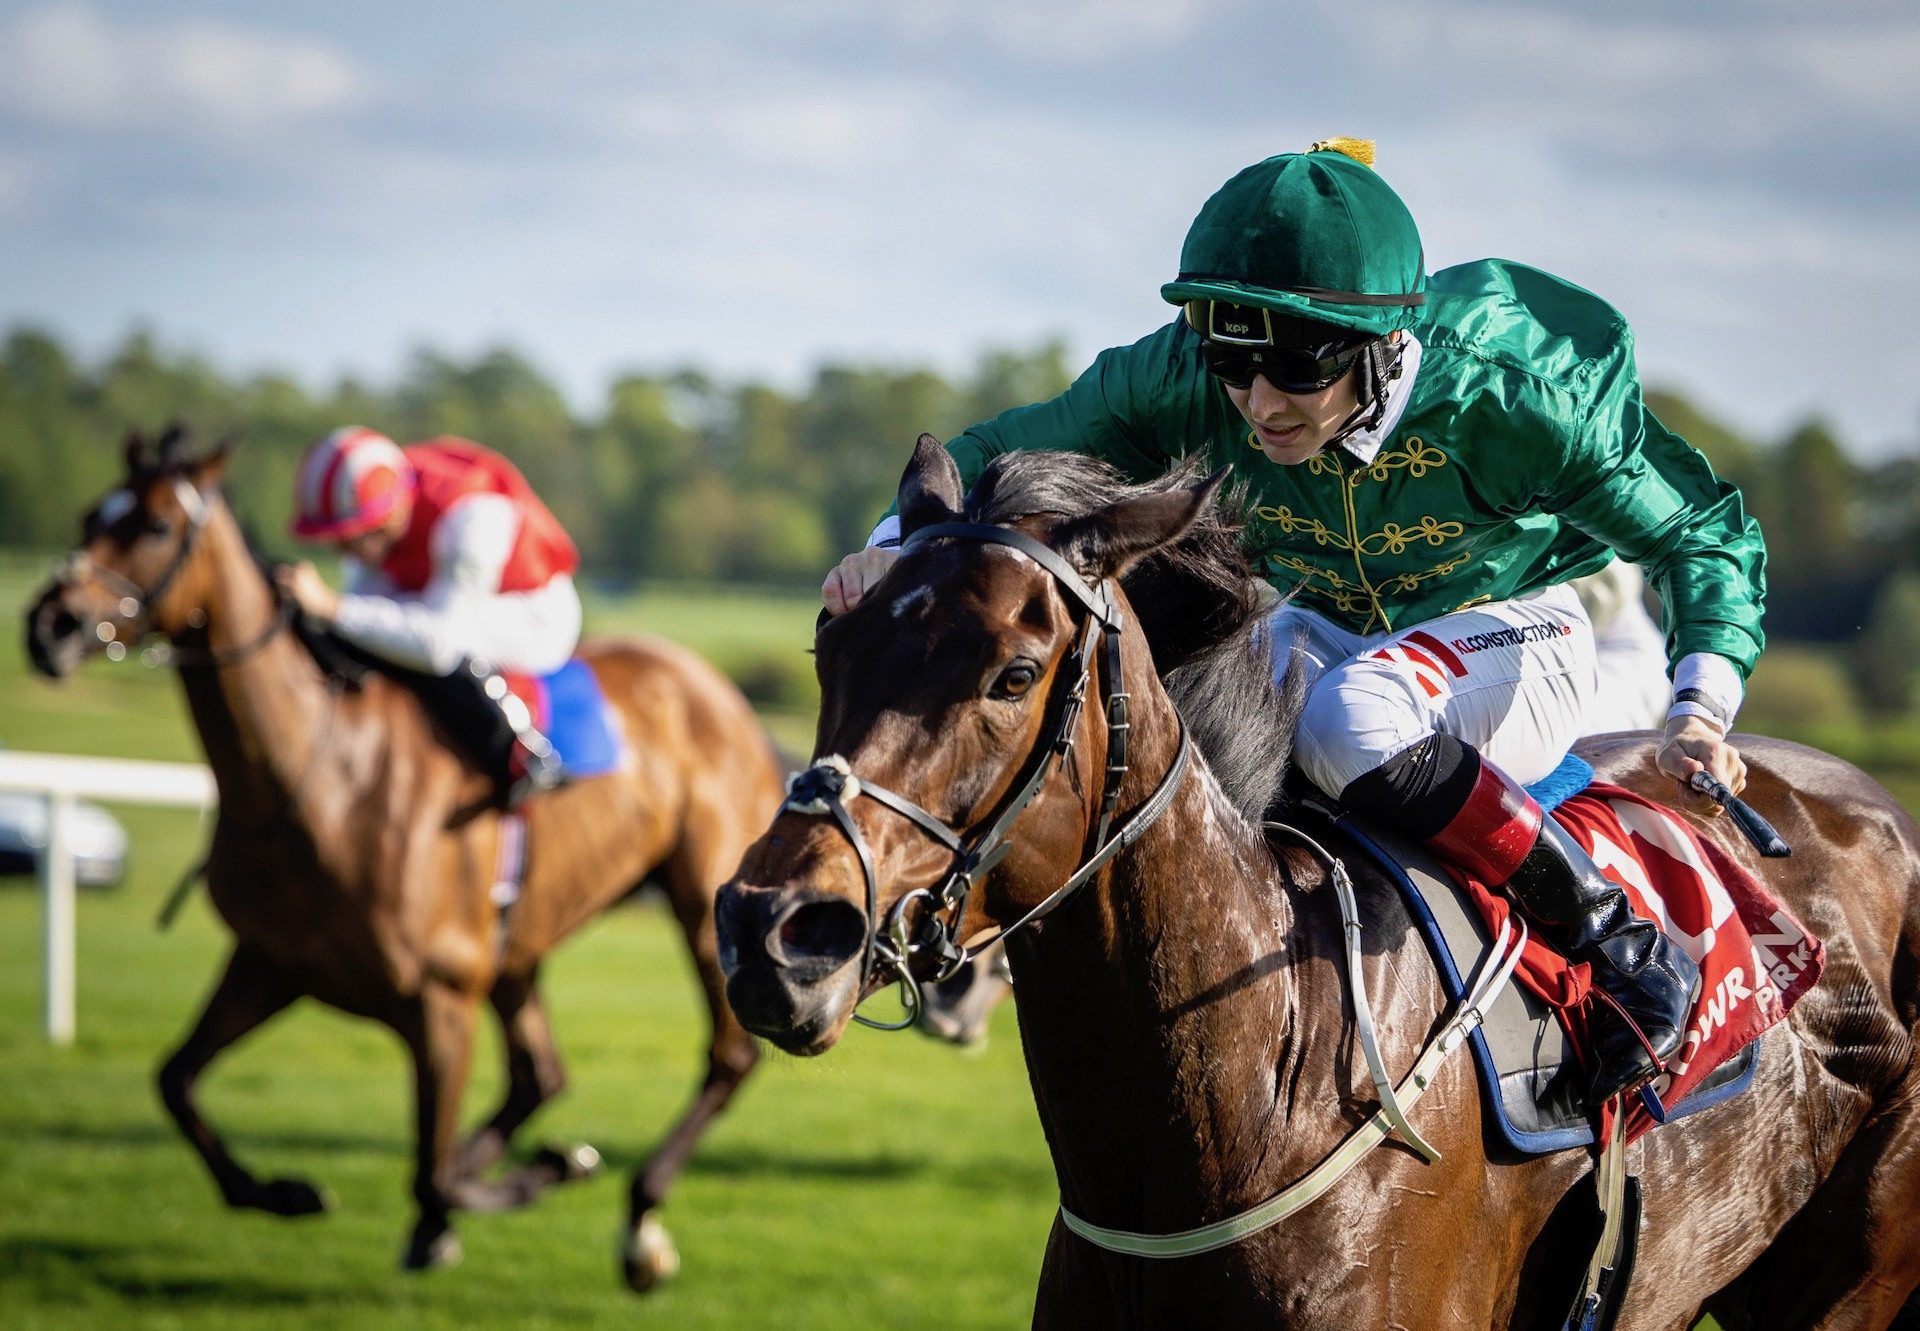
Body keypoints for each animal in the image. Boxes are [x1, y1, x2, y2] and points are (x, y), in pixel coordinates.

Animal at [28, 434, 787, 1290]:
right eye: (91, 515)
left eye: (156, 524)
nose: (48, 624)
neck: (318, 773)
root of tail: (725, 696)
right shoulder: (270, 961)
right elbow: (175, 1081)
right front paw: (287, 1191)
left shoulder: (439, 994)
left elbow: (430, 1169)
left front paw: (542, 1172)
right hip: (516, 939)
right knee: (539, 1074)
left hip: (702, 903)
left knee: (727, 1053)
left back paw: (640, 1220)